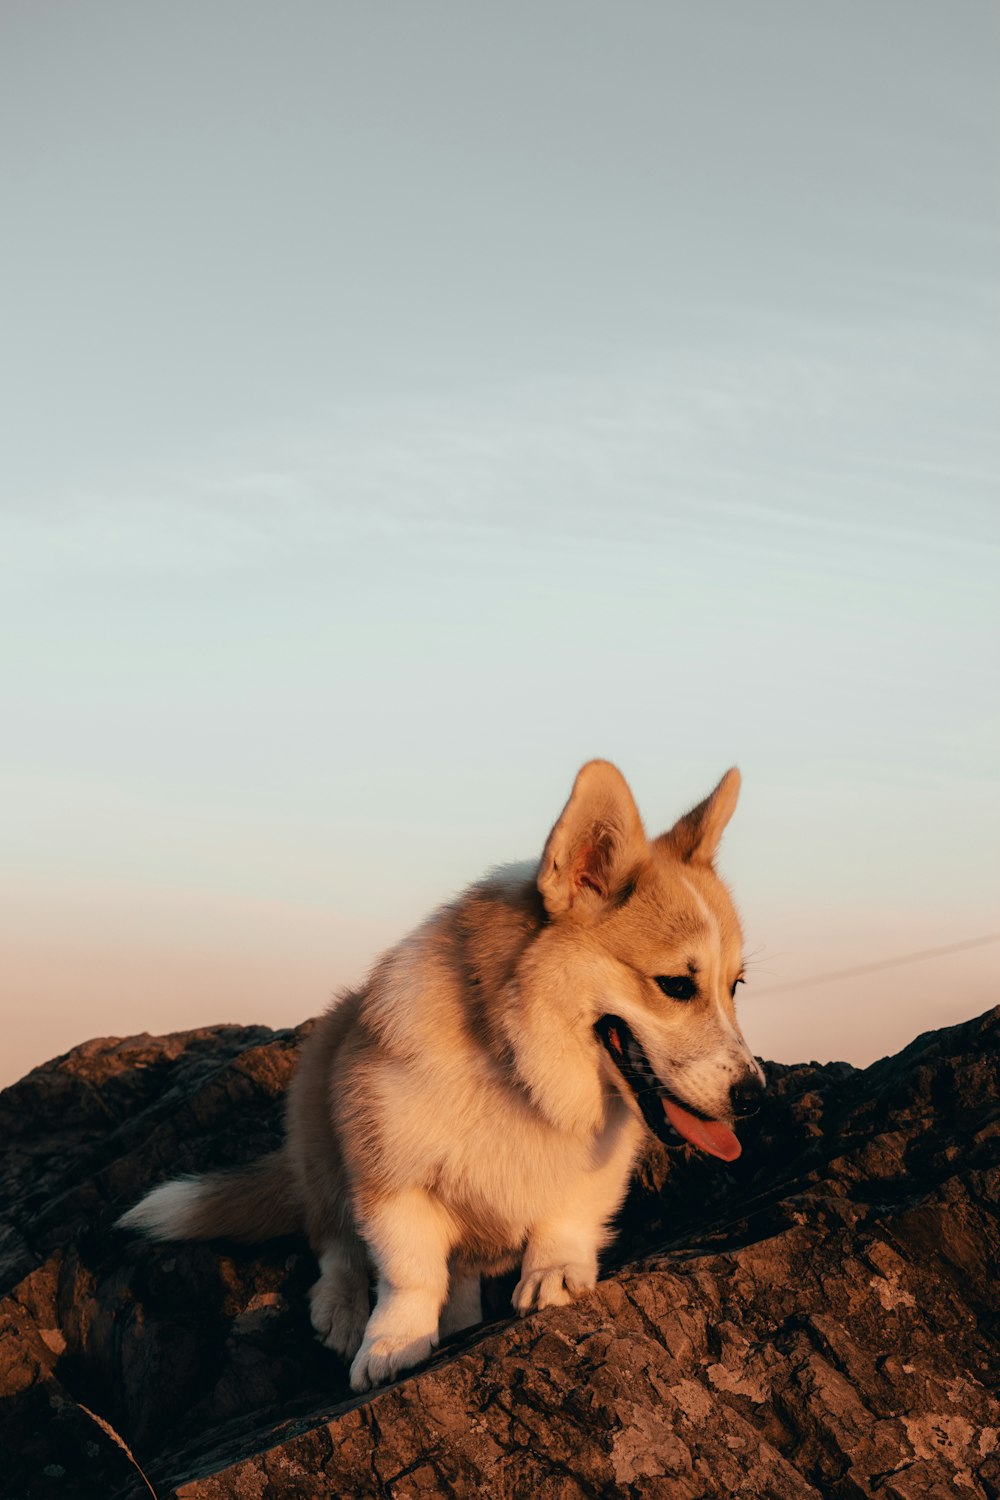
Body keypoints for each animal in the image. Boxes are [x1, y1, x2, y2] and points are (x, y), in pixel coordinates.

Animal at [119, 768, 758, 1386]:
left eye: (735, 986)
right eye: (676, 984)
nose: (755, 1096)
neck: (523, 1067)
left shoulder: (599, 1160)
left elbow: (568, 1216)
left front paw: (553, 1273)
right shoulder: (389, 1175)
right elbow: (410, 1272)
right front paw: (392, 1344)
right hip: (318, 1137)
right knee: (335, 1241)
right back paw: (342, 1310)